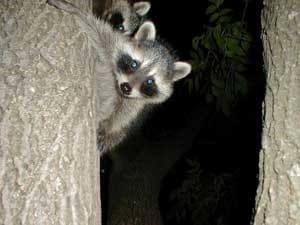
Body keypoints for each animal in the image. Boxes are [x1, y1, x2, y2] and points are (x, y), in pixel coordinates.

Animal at [47, 0, 192, 154]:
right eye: (134, 64)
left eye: (150, 82)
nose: (126, 87)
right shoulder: (116, 46)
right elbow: (101, 35)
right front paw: (78, 12)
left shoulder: (139, 102)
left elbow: (123, 114)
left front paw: (109, 127)